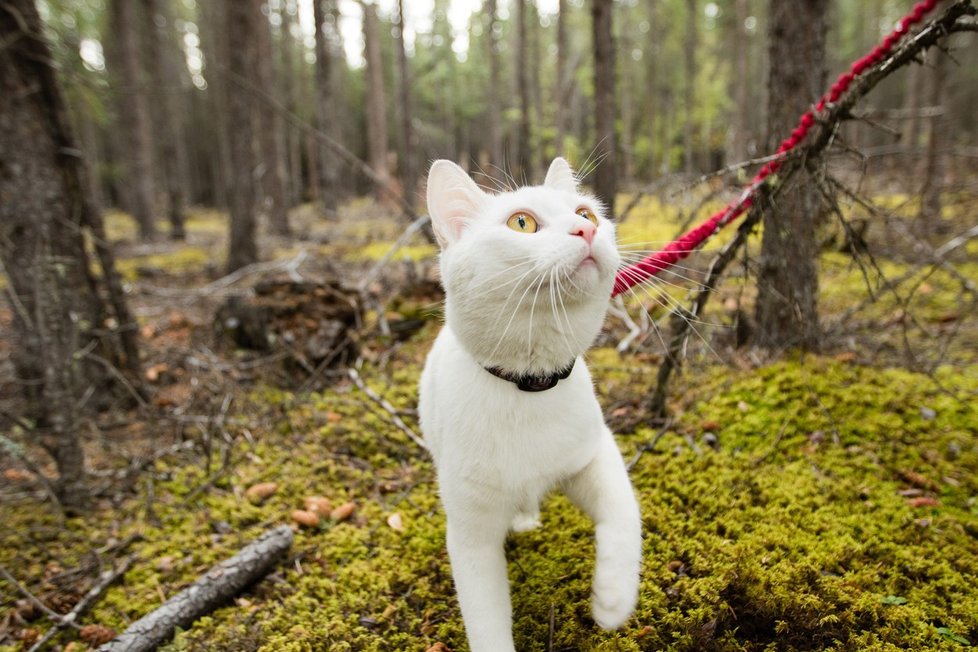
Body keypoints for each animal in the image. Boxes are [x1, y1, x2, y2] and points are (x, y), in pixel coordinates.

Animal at [418, 159, 640, 652]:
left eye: (586, 212)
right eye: (522, 223)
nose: (585, 229)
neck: (530, 385)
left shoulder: (593, 452)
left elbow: (624, 508)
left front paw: (613, 599)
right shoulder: (470, 534)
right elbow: (486, 622)